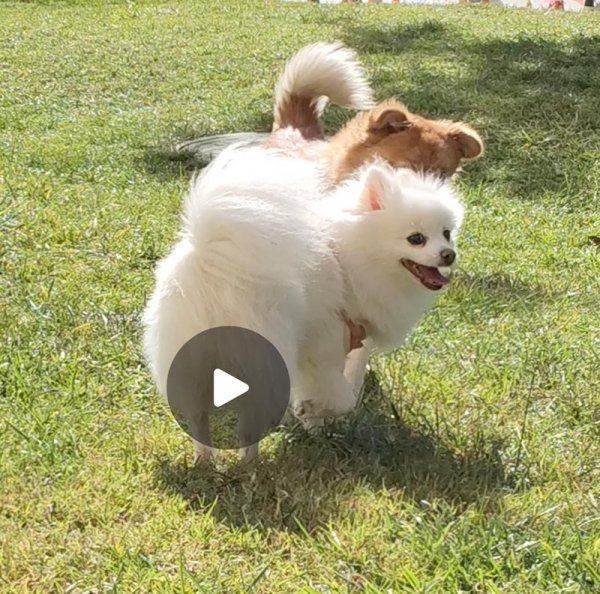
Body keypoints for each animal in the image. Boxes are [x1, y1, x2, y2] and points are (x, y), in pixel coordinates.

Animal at [142, 143, 464, 463]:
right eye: (416, 239)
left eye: (447, 233)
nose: (449, 254)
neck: (348, 255)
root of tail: (214, 258)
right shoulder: (324, 344)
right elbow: (341, 396)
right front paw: (310, 410)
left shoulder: (352, 342)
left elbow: (351, 382)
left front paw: (315, 424)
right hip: (263, 354)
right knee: (248, 422)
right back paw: (249, 464)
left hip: (191, 359)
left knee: (199, 418)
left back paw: (206, 460)